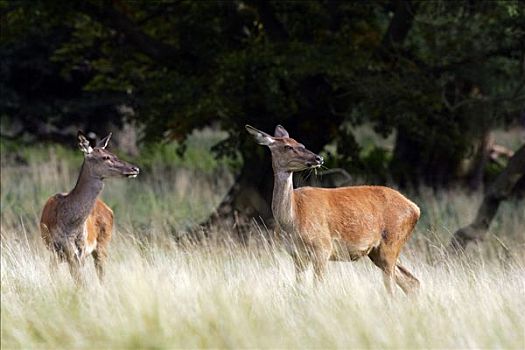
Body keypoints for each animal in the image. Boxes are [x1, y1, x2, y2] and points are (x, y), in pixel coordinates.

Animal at [40, 131, 139, 284]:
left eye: (113, 154)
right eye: (106, 157)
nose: (135, 168)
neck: (69, 225)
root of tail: (108, 208)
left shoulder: (79, 251)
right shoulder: (57, 250)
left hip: (103, 243)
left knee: (102, 275)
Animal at [244, 124, 420, 294]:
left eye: (301, 144)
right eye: (287, 146)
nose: (318, 158)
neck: (293, 220)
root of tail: (415, 209)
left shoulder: (323, 248)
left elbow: (318, 288)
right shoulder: (297, 255)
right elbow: (299, 289)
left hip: (391, 243)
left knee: (393, 286)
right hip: (377, 251)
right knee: (411, 281)